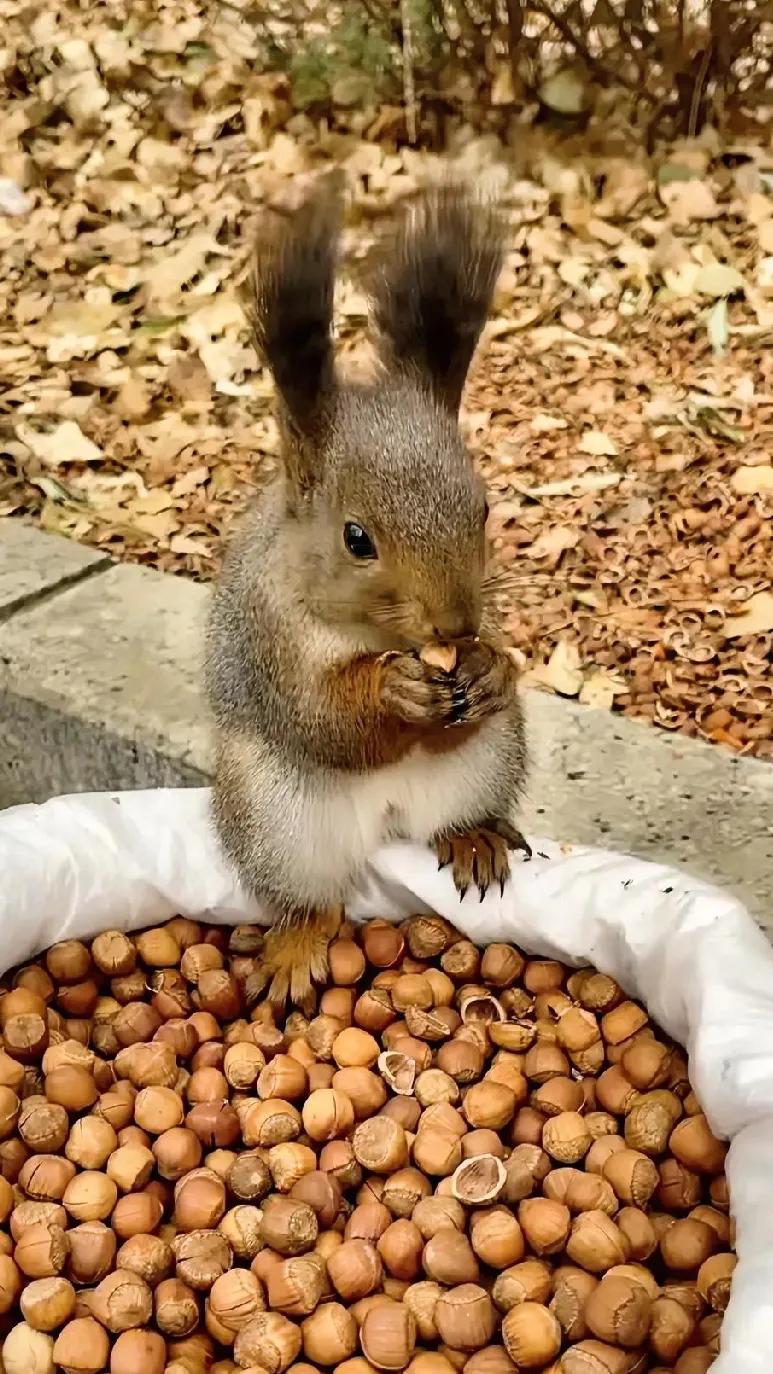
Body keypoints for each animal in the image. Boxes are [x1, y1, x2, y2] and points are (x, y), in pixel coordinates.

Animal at [205, 182, 532, 1011]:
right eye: (356, 539)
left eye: (484, 509)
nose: (455, 621)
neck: (377, 637)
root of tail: (385, 827)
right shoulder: (269, 641)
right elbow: (323, 720)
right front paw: (392, 694)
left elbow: (496, 666)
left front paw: (491, 670)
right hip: (277, 820)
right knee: (309, 897)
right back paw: (297, 944)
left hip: (486, 761)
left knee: (455, 809)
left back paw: (471, 837)